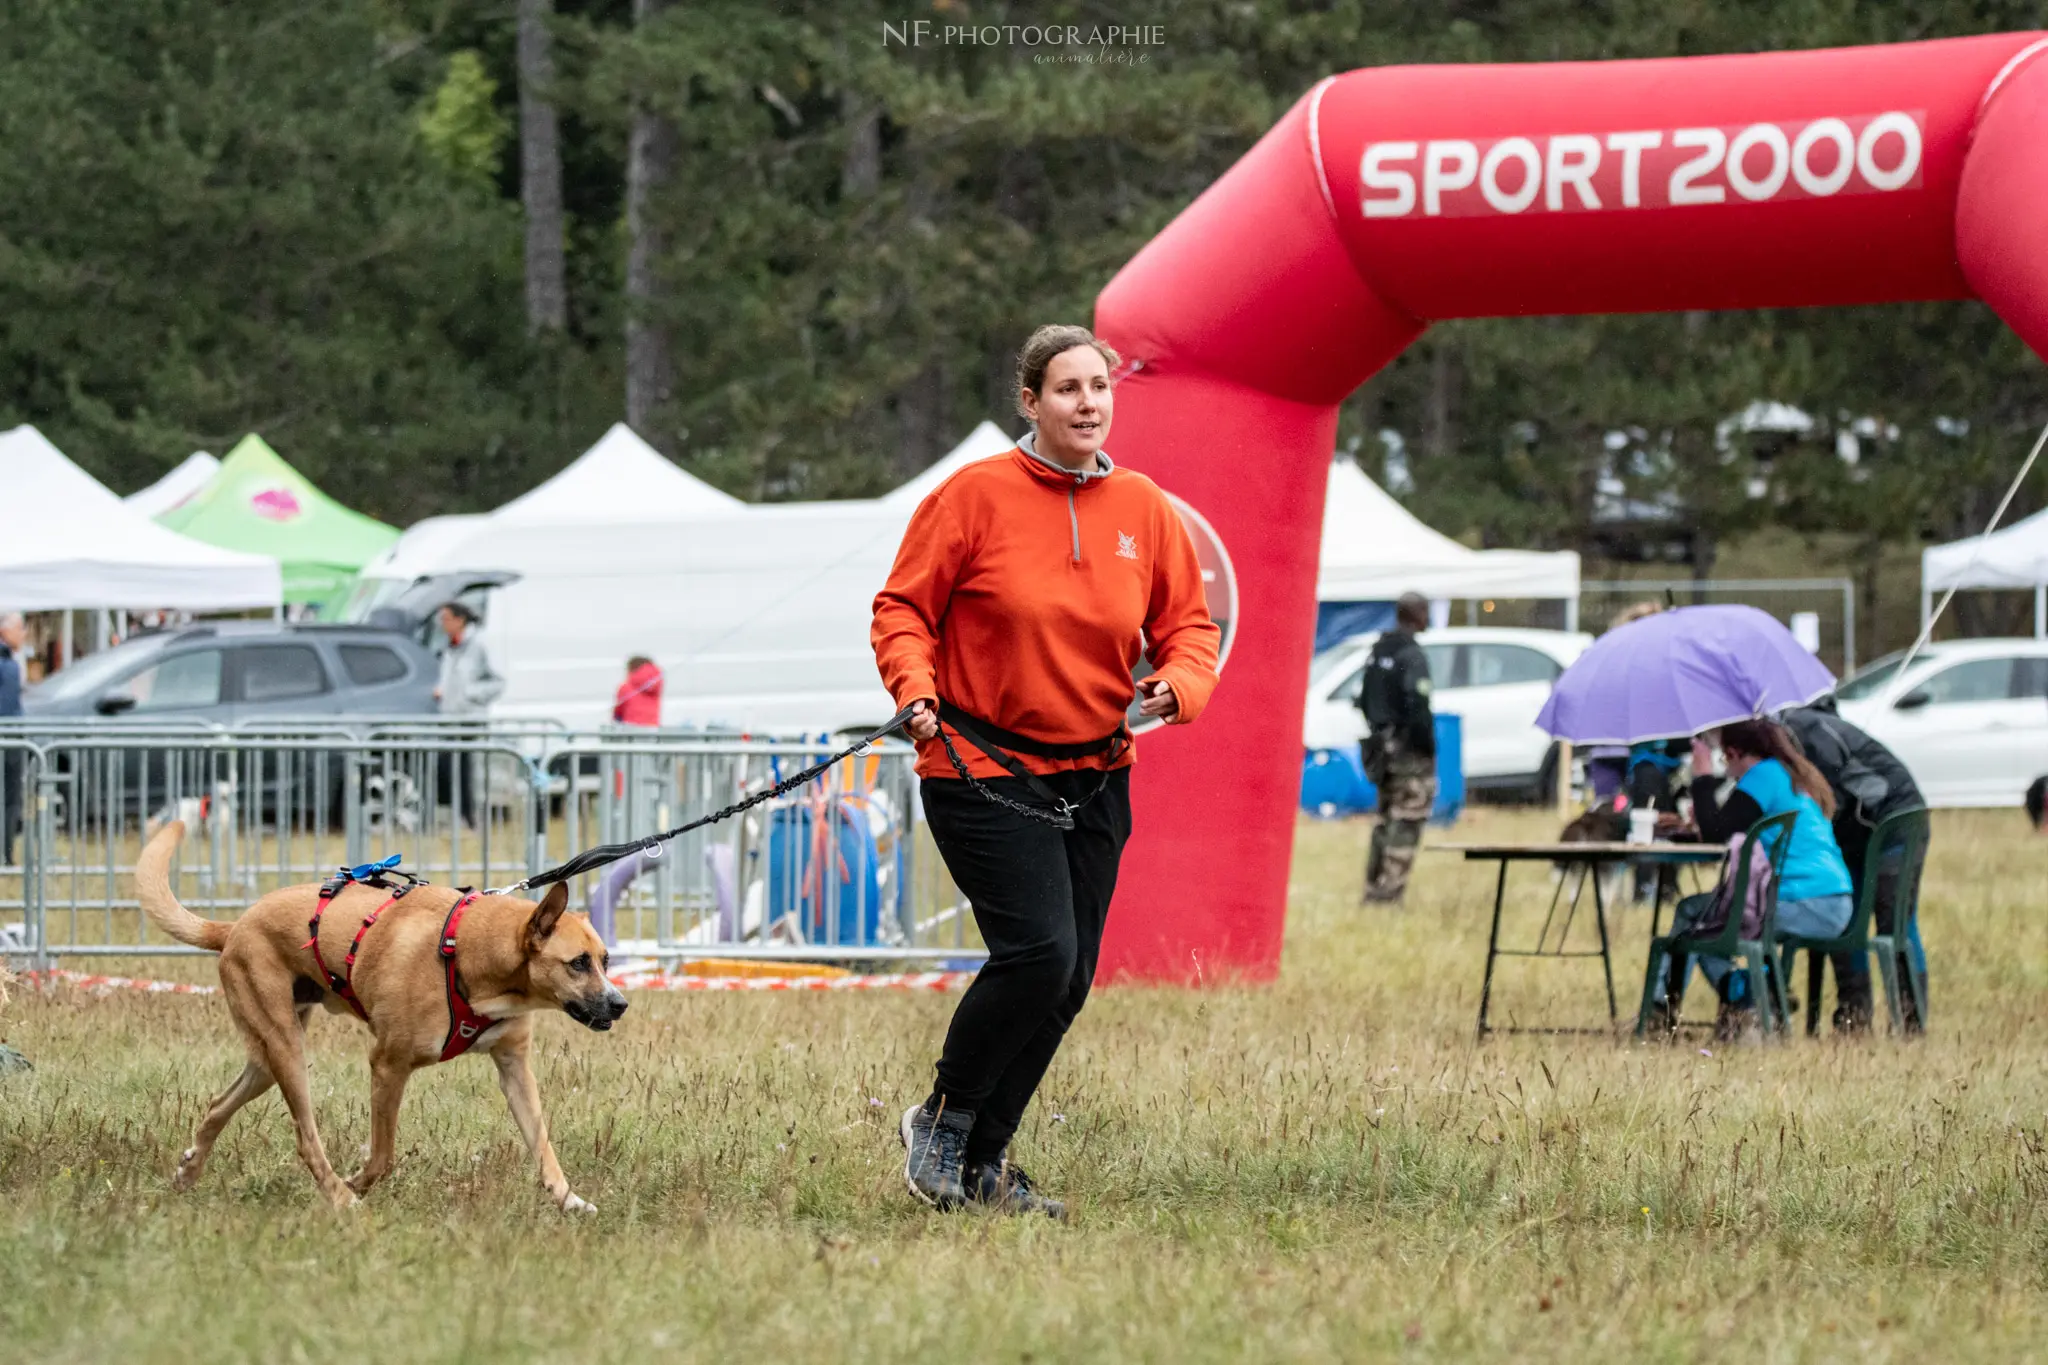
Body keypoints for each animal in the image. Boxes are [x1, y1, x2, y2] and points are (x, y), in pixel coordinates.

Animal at [136, 822, 622, 1219]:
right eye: (578, 964)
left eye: (605, 960)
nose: (619, 1005)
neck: (471, 952)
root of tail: (236, 924)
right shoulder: (388, 1065)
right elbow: (383, 1156)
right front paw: (357, 1184)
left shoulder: (513, 1065)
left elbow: (542, 1143)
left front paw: (568, 1199)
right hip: (286, 1048)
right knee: (305, 1137)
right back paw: (339, 1197)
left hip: (265, 1057)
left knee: (218, 1104)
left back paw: (188, 1172)